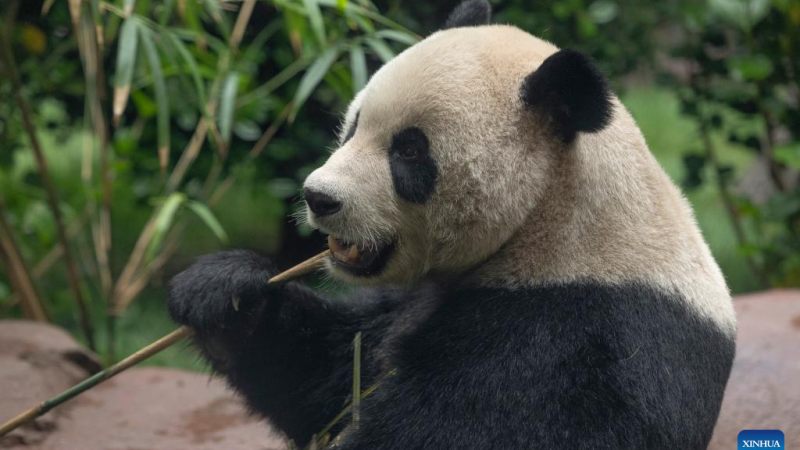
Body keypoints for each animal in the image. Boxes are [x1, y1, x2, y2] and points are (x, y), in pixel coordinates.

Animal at [167, 1, 736, 448]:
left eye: (409, 151)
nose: (319, 197)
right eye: (354, 125)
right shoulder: (411, 302)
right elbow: (327, 376)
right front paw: (224, 292)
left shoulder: (571, 339)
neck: (552, 222)